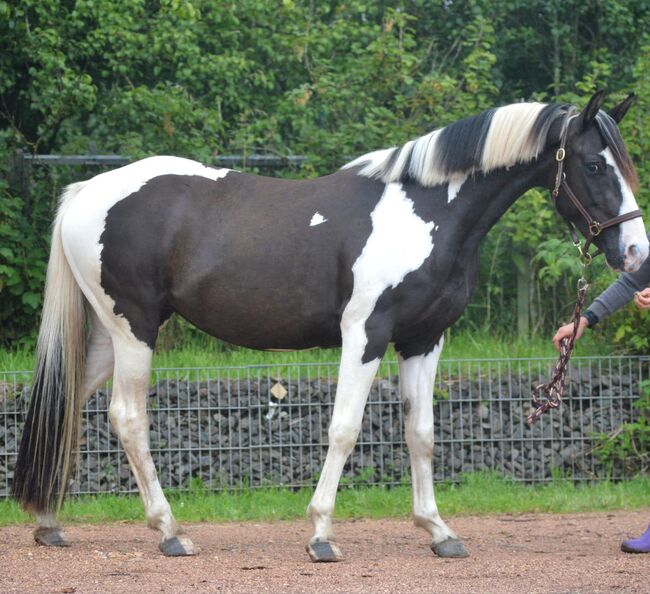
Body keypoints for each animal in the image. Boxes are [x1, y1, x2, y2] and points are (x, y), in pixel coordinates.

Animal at [12, 92, 644, 560]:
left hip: (108, 335)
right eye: (593, 164)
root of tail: (84, 194)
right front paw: (320, 534)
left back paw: (49, 521)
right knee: (126, 418)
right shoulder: (365, 334)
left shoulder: (424, 340)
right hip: (134, 329)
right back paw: (170, 532)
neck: (427, 212)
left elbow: (422, 433)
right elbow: (344, 428)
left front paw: (439, 531)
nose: (636, 251)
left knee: (66, 403)